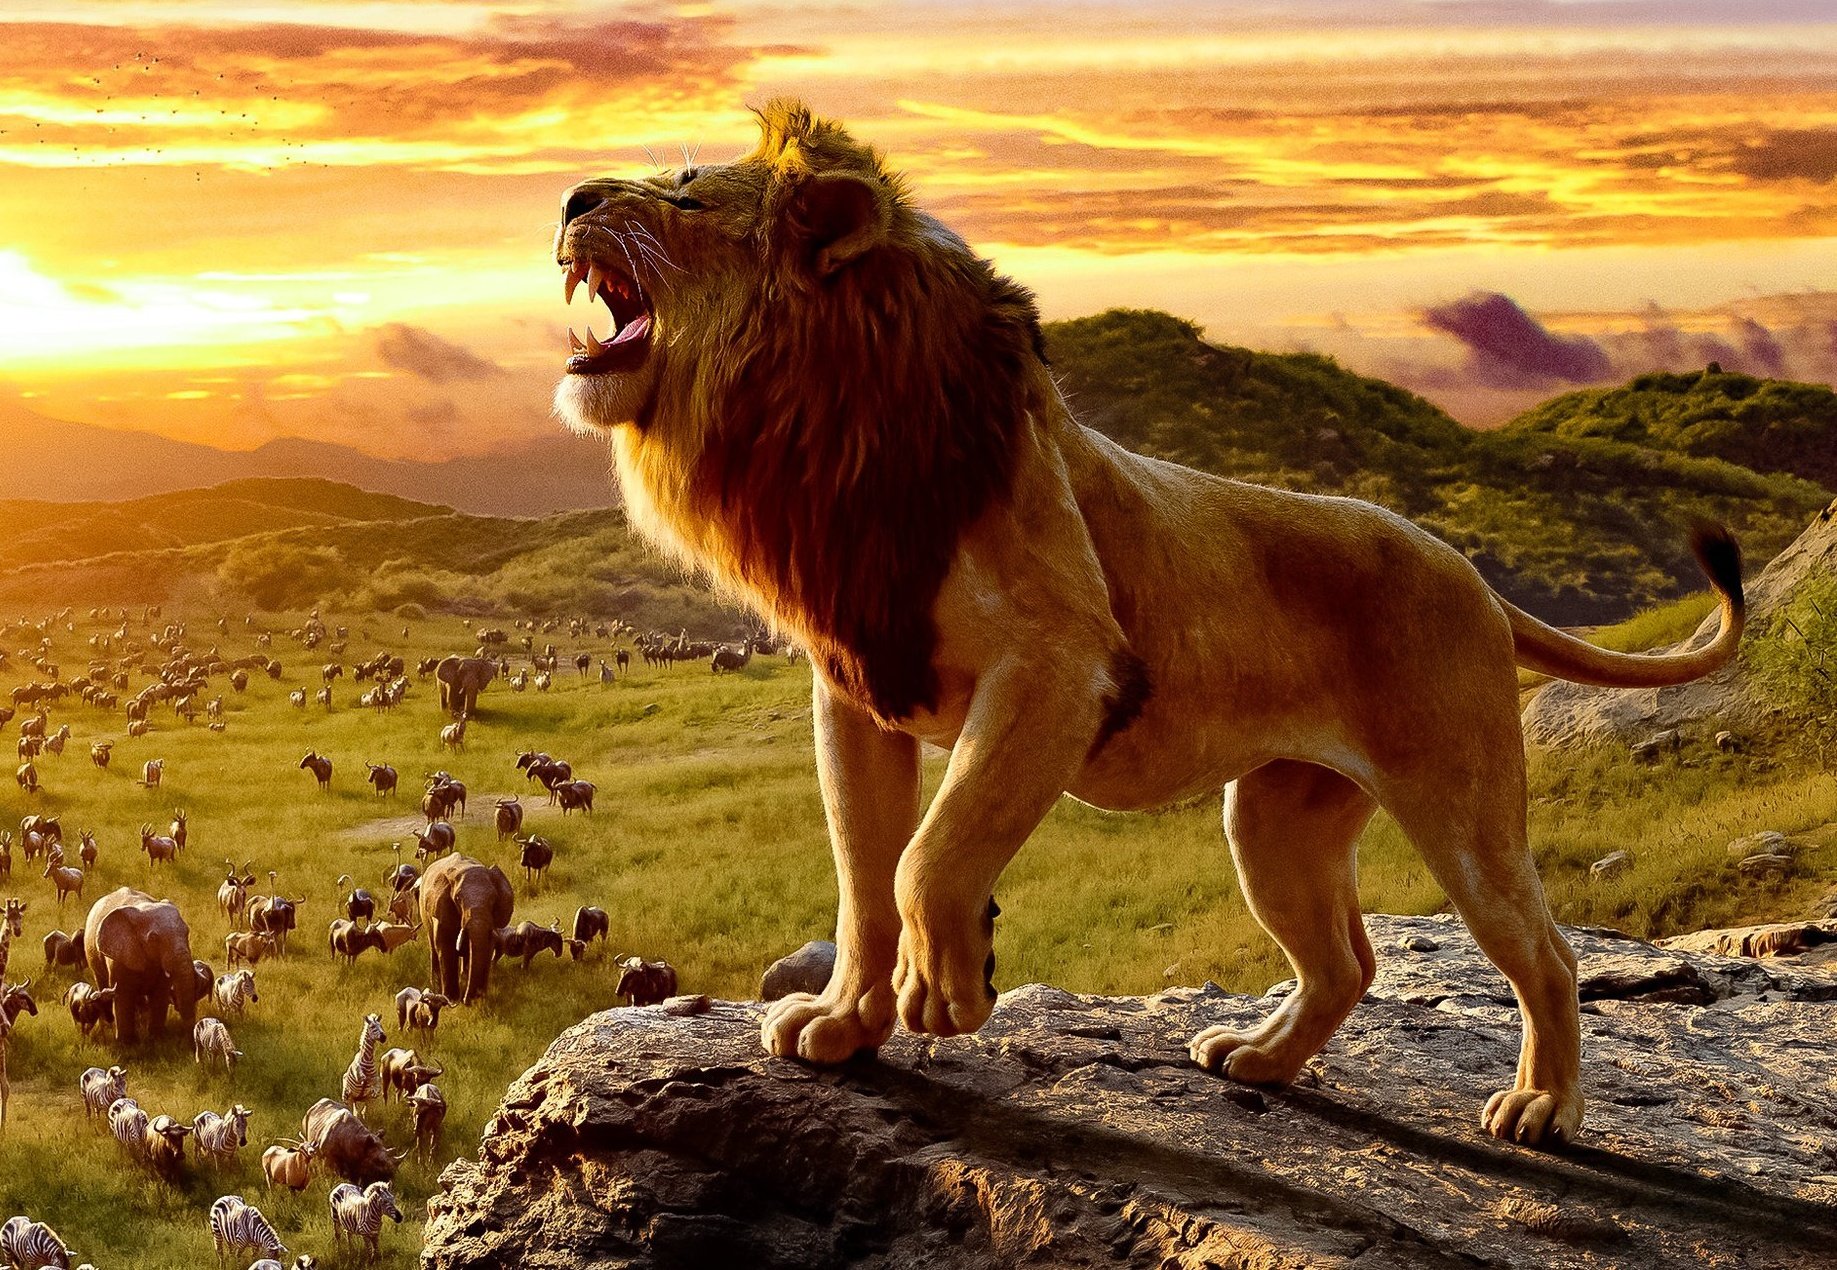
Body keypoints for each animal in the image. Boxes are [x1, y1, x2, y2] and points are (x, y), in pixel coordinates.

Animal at [551, 100, 1744, 1148]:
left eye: (686, 195)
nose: (567, 197)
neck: (826, 437)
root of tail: (1471, 574)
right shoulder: (857, 689)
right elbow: (861, 877)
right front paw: (844, 1025)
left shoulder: (1059, 666)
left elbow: (927, 857)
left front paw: (948, 992)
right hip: (1274, 821)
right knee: (1346, 962)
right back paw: (1257, 1060)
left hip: (1460, 804)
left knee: (1543, 951)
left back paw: (1541, 1107)